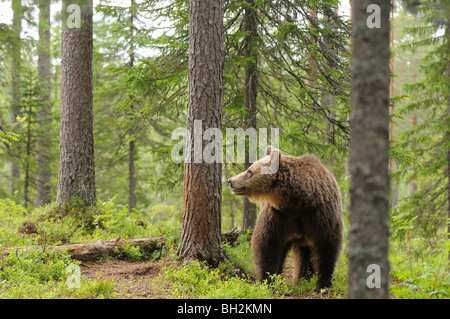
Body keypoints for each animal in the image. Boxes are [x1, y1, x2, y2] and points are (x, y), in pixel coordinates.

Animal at [229, 146, 344, 292]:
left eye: (249, 171)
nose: (230, 180)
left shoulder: (320, 214)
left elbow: (327, 246)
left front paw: (324, 285)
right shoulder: (277, 215)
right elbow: (268, 244)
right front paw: (268, 279)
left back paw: (304, 279)